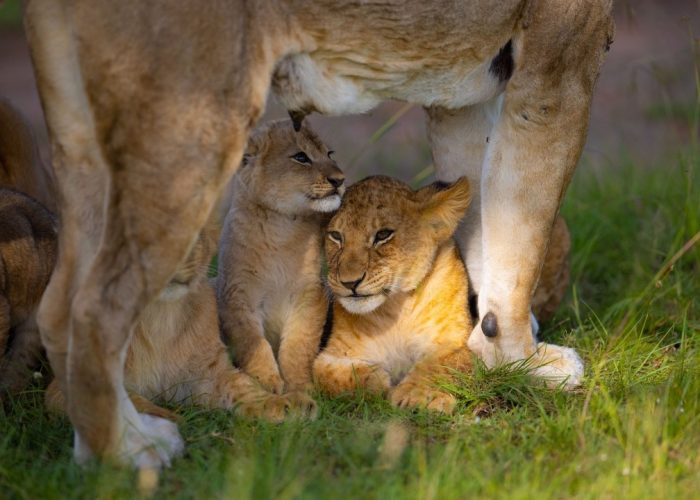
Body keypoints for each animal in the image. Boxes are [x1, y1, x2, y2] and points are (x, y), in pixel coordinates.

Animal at [217, 120, 344, 411]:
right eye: (301, 157)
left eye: (330, 154)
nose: (340, 180)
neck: (282, 227)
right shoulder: (237, 295)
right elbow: (254, 343)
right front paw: (267, 383)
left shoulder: (311, 295)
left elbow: (298, 346)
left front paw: (299, 386)